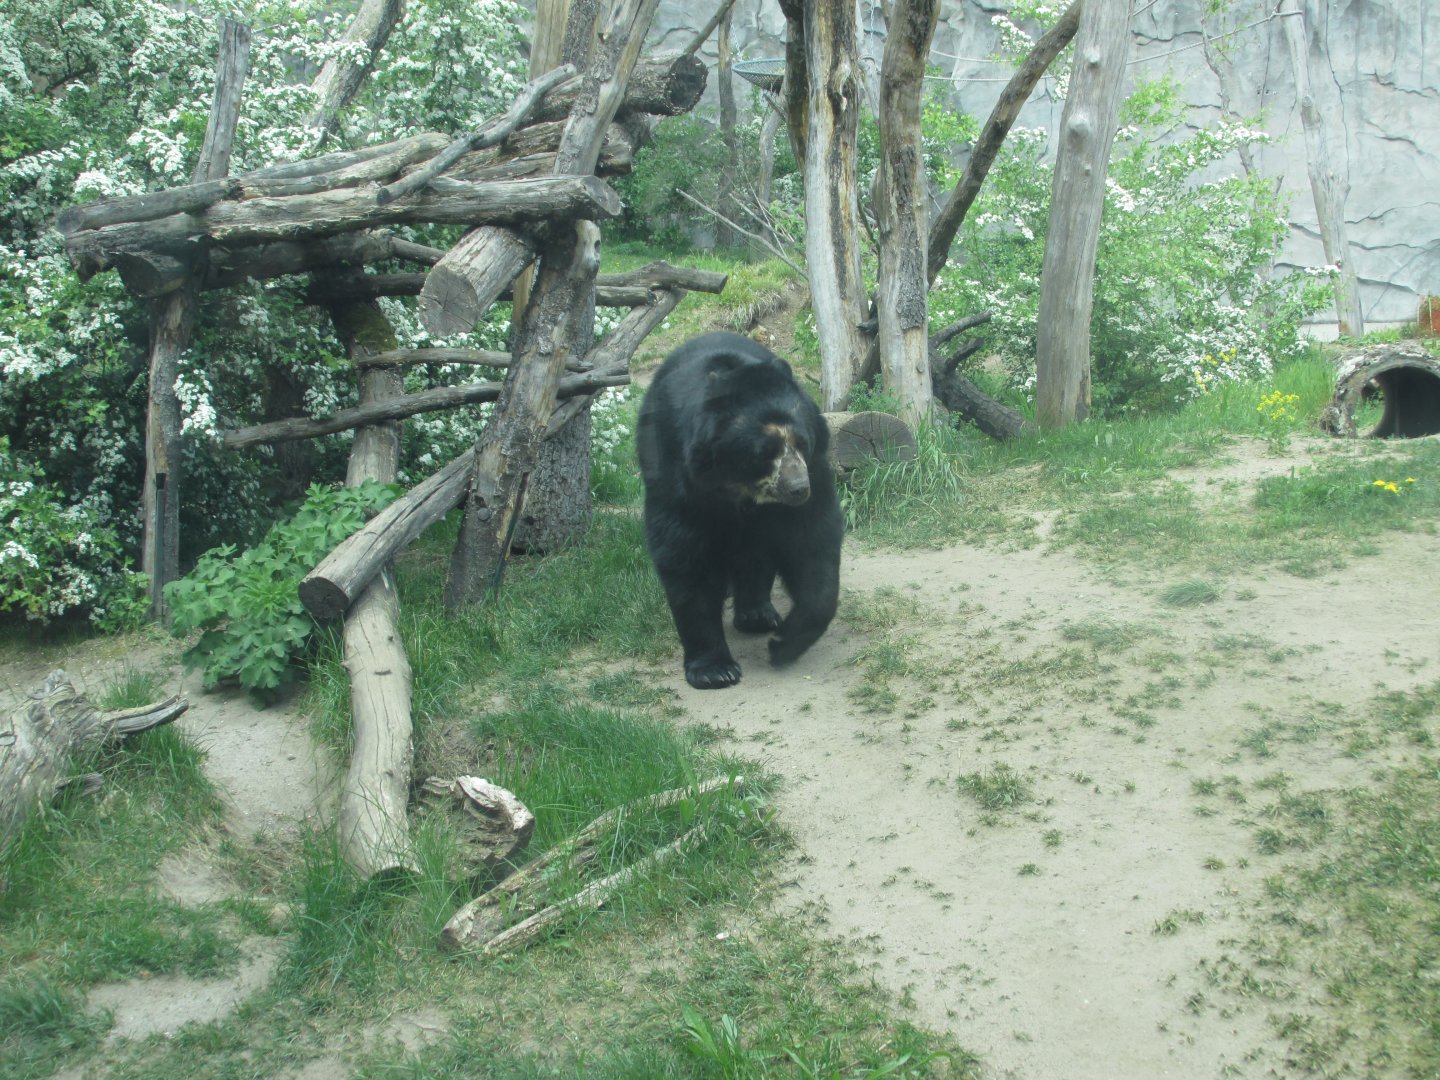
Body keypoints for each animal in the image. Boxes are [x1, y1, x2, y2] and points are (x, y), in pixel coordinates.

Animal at [636, 331, 843, 690]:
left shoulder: (813, 472)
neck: (738, 488)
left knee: (754, 557)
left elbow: (813, 539)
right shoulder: (679, 480)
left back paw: (758, 615)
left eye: (802, 443)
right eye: (765, 451)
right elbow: (686, 556)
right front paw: (715, 670)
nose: (798, 488)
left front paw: (783, 644)